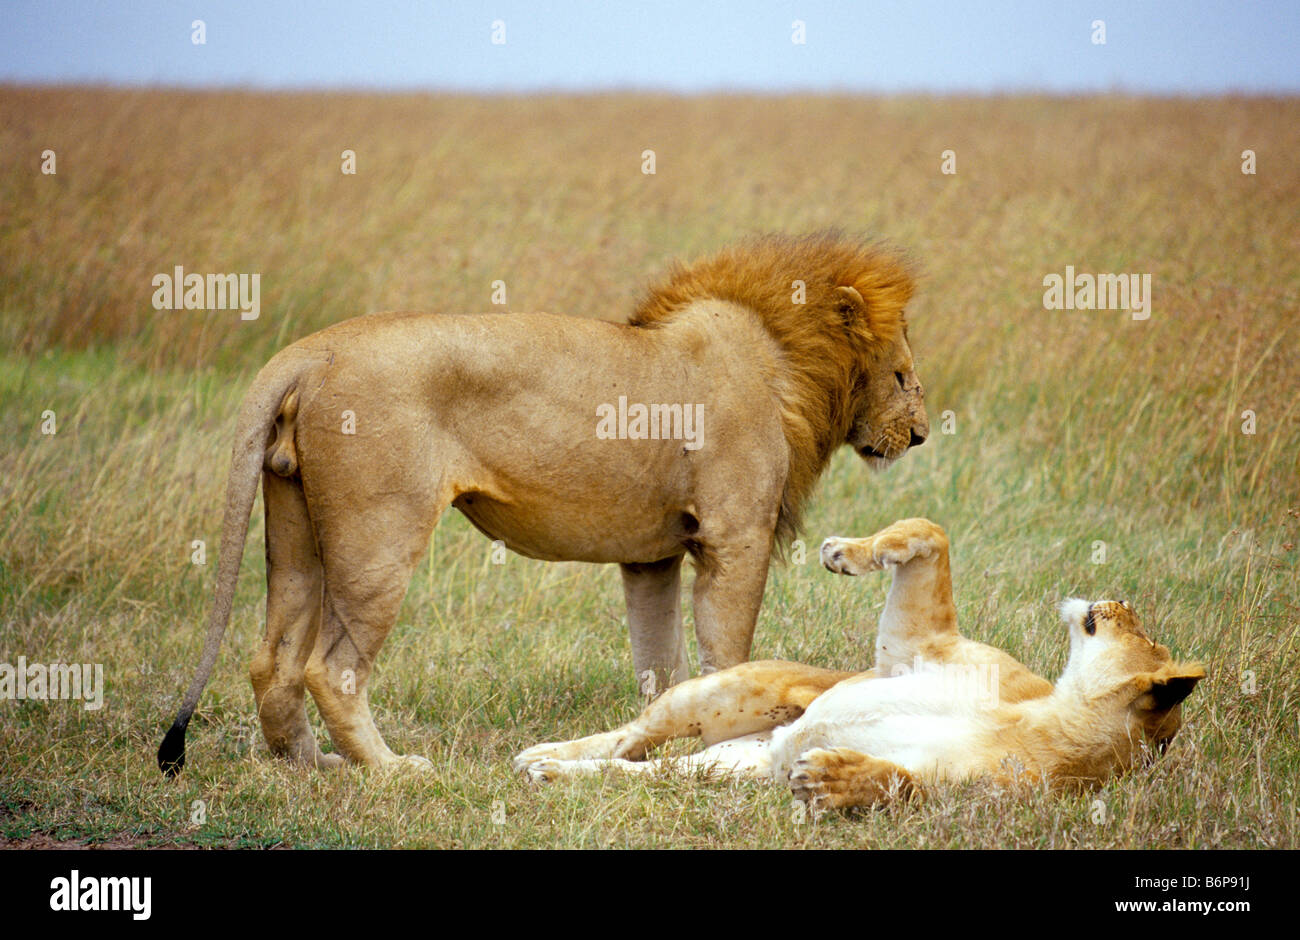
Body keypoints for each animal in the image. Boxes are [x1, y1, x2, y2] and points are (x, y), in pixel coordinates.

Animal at [157, 233, 928, 775]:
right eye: (902, 376)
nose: (920, 435)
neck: (782, 359)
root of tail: (310, 352)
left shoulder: (651, 558)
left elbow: (661, 664)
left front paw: (658, 742)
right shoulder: (734, 537)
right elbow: (726, 654)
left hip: (295, 527)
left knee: (273, 661)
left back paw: (312, 765)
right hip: (379, 536)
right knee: (331, 668)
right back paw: (389, 768)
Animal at [516, 519, 1204, 809]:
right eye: (1148, 630)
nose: (1123, 599)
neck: (1055, 713)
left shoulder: (987, 793)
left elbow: (903, 782)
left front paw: (832, 779)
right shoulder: (915, 646)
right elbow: (929, 530)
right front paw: (846, 552)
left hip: (725, 768)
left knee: (641, 772)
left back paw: (549, 773)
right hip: (717, 694)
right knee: (628, 735)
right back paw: (541, 754)